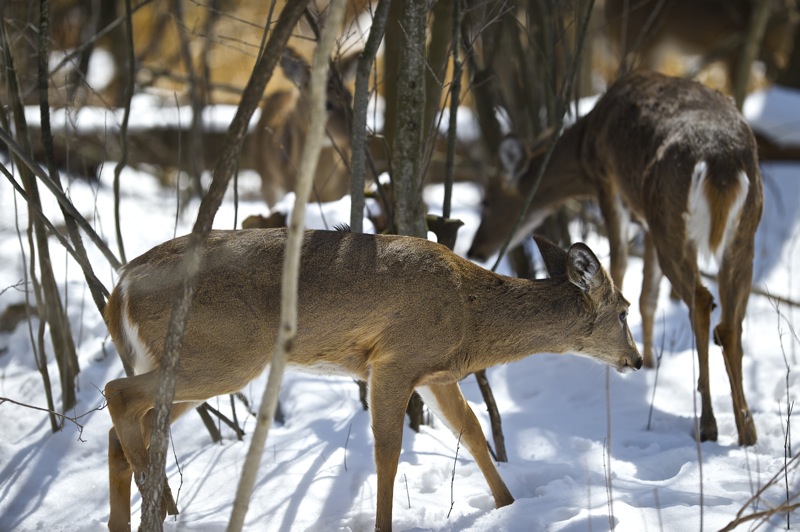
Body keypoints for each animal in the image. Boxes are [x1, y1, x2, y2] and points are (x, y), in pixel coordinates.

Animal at [103, 228, 642, 531]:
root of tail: (119, 286)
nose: (637, 360)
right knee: (118, 394)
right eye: (623, 311)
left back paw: (140, 516)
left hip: (200, 360)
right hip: (227, 354)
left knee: (124, 428)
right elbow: (388, 448)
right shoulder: (394, 359)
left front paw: (508, 506)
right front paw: (384, 525)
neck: (470, 318)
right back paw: (159, 503)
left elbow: (471, 431)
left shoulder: (434, 372)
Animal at [468, 71, 763, 447]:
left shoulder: (607, 183)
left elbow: (619, 264)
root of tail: (721, 166)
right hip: (739, 231)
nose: (476, 247)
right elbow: (648, 293)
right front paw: (648, 361)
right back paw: (747, 430)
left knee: (701, 300)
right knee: (729, 323)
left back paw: (709, 424)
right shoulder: (646, 220)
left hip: (671, 217)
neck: (584, 143)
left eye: (487, 200)